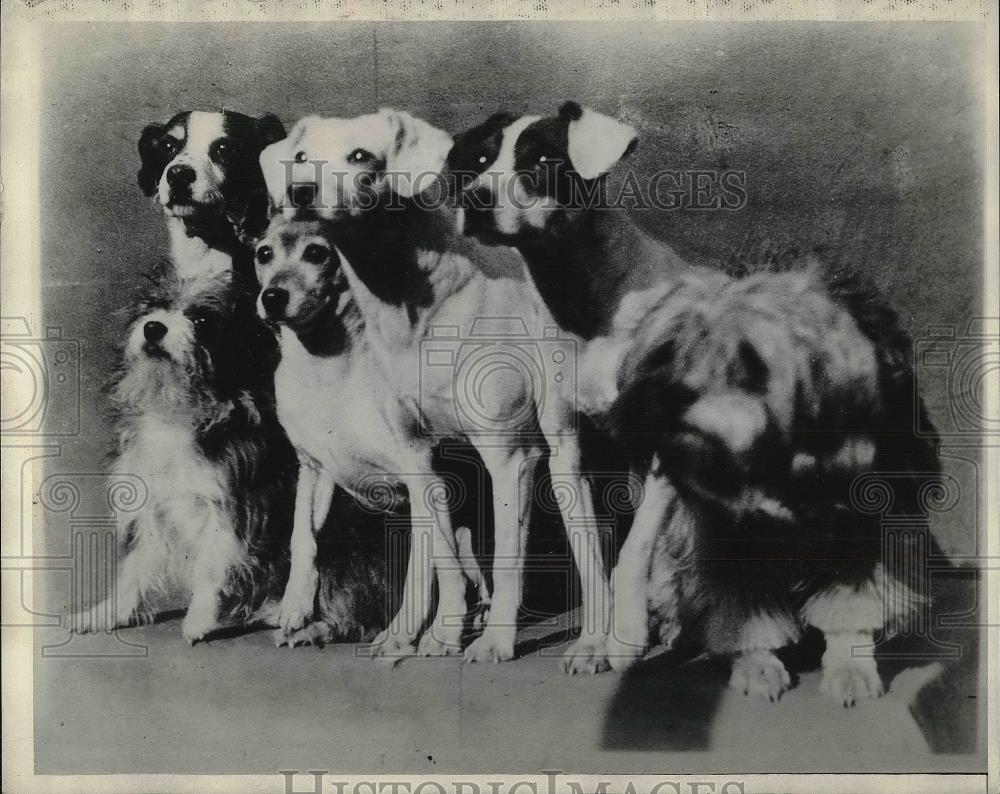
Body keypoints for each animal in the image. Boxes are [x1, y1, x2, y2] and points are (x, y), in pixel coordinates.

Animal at [70, 270, 388, 640]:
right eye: (154, 306)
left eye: (202, 320)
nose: (153, 328)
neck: (183, 409)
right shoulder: (151, 503)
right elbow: (135, 567)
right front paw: (108, 614)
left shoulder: (233, 507)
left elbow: (211, 566)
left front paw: (199, 618)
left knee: (359, 605)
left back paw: (312, 626)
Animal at [249, 210, 484, 648]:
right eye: (264, 253)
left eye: (317, 253)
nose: (272, 296)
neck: (325, 369)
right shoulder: (313, 470)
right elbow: (302, 538)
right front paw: (295, 604)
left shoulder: (420, 476)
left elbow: (423, 569)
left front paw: (403, 633)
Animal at [450, 102, 940, 704]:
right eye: (479, 161)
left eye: (542, 160)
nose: (474, 198)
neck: (592, 305)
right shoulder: (569, 453)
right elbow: (590, 563)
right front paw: (592, 640)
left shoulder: (670, 451)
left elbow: (630, 556)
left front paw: (624, 635)